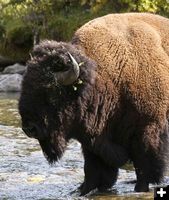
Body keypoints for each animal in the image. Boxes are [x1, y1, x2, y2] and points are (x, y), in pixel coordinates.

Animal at [18, 12, 169, 195]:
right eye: (24, 86)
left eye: (50, 92)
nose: (29, 128)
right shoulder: (92, 138)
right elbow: (93, 168)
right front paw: (83, 190)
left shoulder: (148, 127)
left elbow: (144, 164)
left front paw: (140, 188)